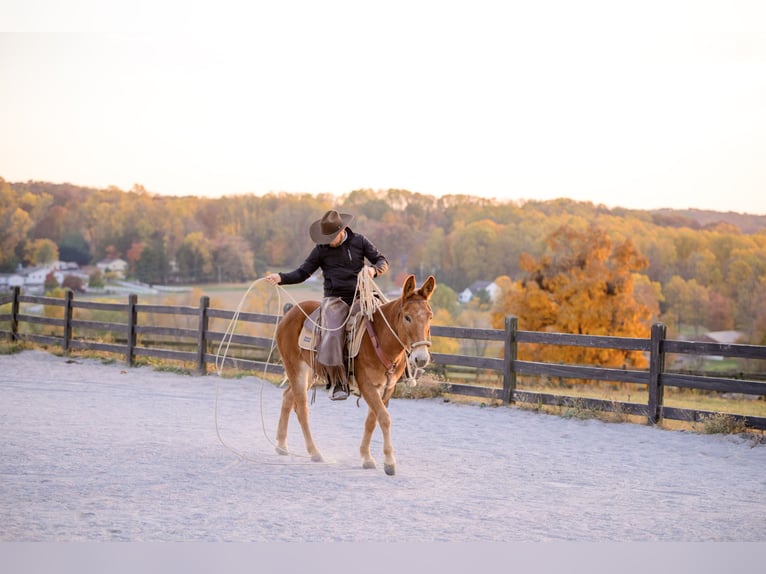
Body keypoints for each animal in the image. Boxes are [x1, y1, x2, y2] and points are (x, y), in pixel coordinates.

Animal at [276, 274, 436, 476]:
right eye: (407, 317)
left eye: (430, 316)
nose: (421, 358)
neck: (380, 340)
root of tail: (290, 313)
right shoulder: (367, 385)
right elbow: (384, 418)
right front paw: (389, 462)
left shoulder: (386, 388)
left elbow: (372, 420)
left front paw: (366, 457)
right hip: (296, 369)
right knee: (302, 408)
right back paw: (314, 452)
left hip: (310, 373)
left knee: (288, 397)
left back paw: (281, 445)